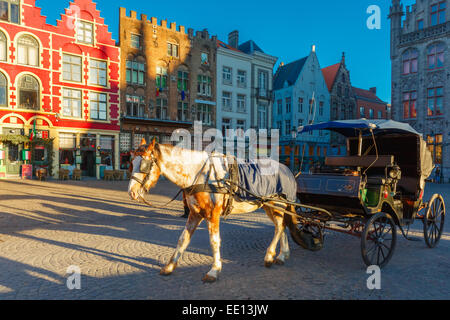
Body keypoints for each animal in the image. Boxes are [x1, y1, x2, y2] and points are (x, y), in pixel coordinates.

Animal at [127, 138, 302, 282]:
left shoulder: (213, 215)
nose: (132, 192)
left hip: (277, 205)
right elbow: (183, 239)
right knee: (282, 226)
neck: (201, 175)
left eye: (144, 165)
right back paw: (282, 255)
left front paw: (214, 270)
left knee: (279, 227)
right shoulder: (194, 214)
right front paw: (170, 266)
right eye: (131, 163)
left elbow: (214, 241)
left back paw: (269, 256)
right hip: (269, 207)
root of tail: (287, 170)